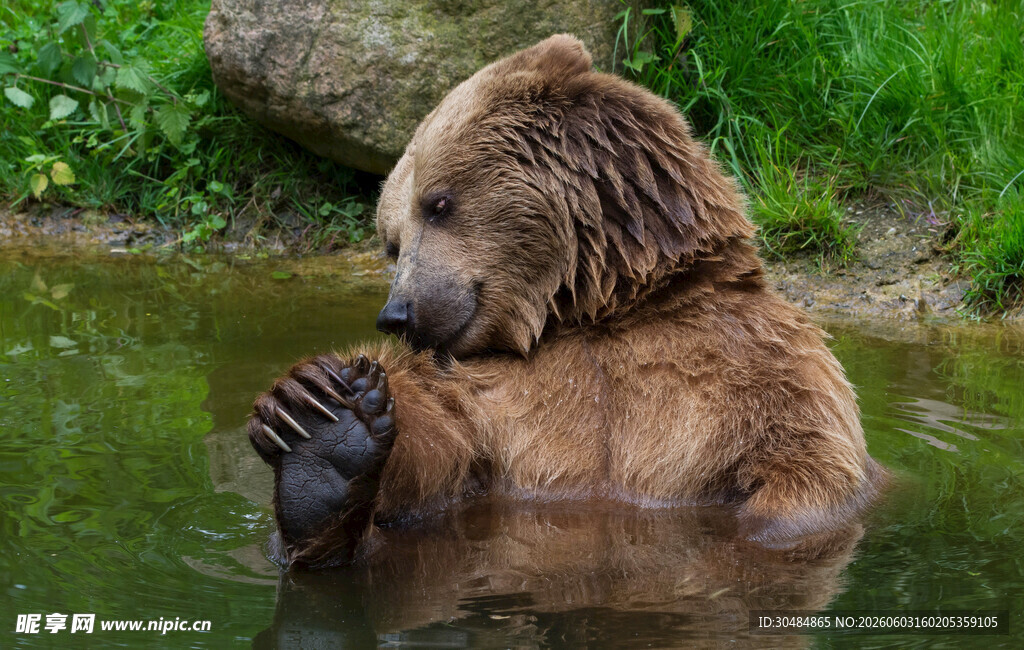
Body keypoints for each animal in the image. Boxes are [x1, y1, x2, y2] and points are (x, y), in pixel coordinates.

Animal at [247, 34, 884, 567]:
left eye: (438, 203)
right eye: (391, 240)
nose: (397, 314)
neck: (602, 309)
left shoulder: (759, 370)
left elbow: (805, 473)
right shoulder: (497, 401)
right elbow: (441, 452)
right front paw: (321, 417)